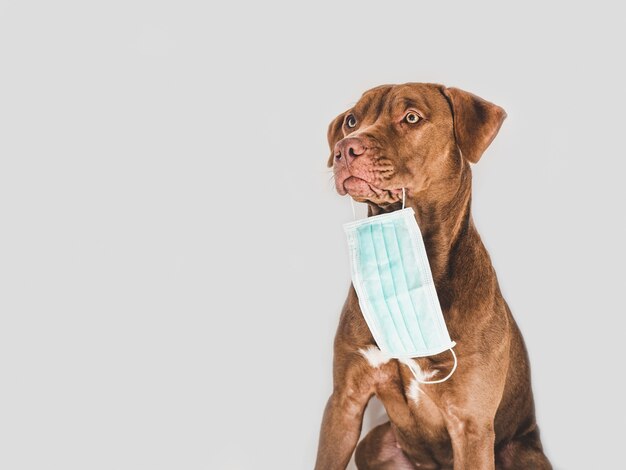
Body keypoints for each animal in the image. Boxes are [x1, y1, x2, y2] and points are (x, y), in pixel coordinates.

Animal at [314, 84, 548, 470]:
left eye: (411, 117)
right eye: (351, 120)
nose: (345, 148)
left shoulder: (471, 424)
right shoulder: (344, 401)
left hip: (520, 453)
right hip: (374, 442)